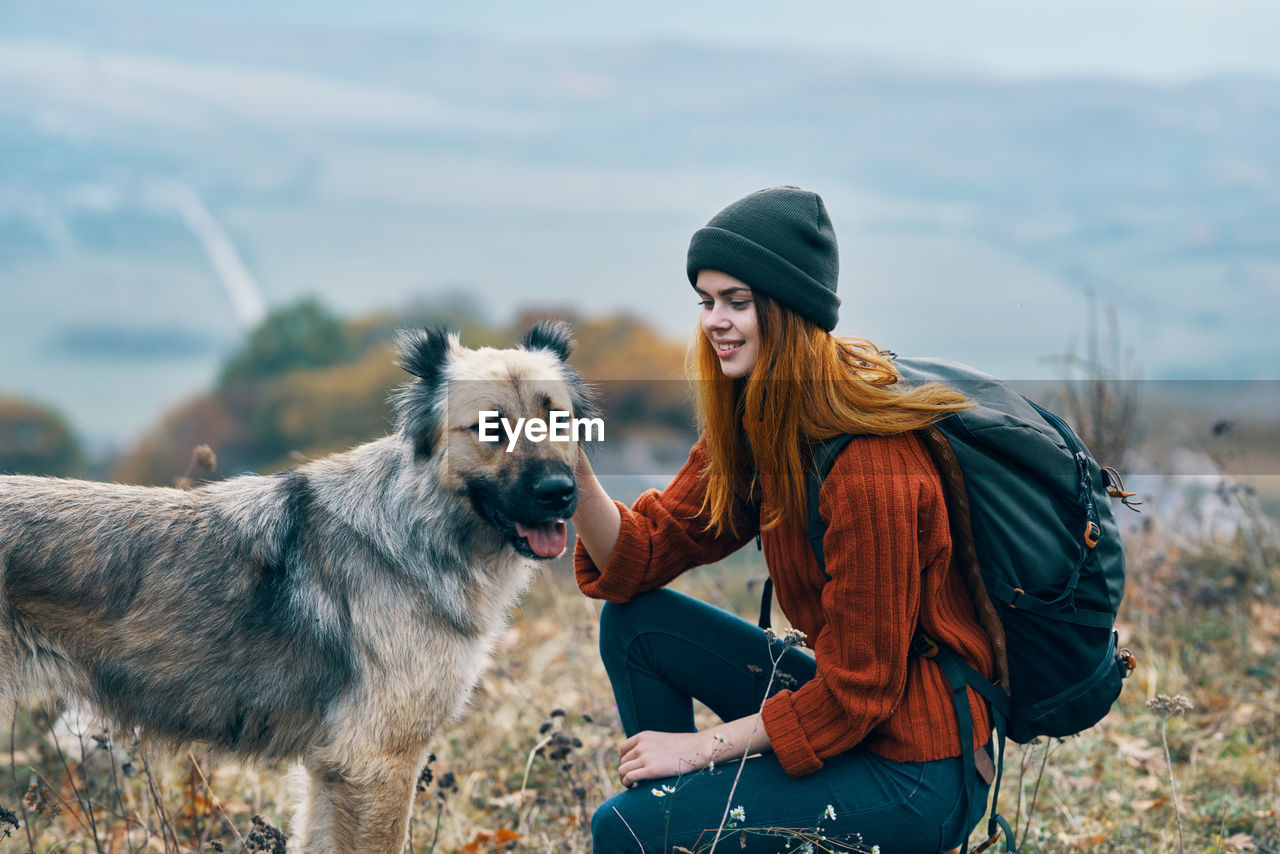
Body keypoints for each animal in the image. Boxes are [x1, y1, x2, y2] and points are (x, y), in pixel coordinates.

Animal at [0, 322, 596, 854]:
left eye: (557, 419)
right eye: (491, 428)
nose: (559, 492)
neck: (418, 525)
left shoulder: (332, 770)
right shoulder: (376, 763)